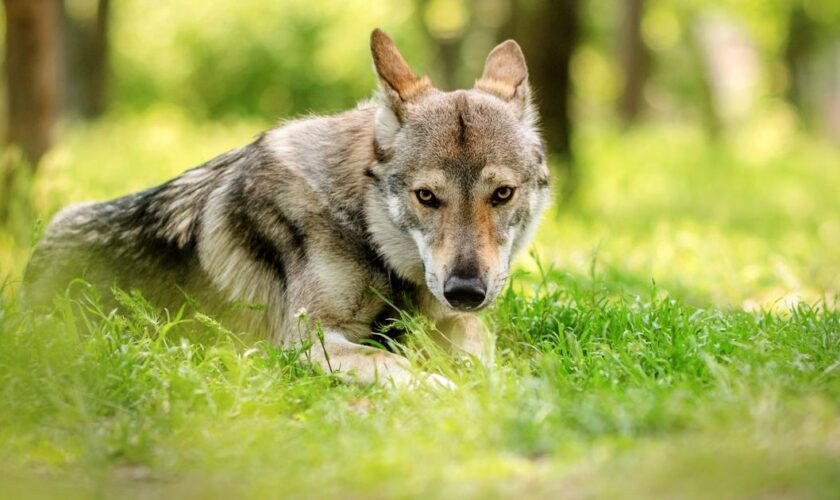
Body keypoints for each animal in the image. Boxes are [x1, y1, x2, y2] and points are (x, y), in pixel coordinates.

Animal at [24, 29, 552, 388]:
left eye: (501, 194)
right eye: (427, 196)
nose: (465, 290)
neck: (365, 234)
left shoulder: (451, 319)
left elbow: (481, 345)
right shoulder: (305, 341)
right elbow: (393, 361)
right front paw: (449, 393)